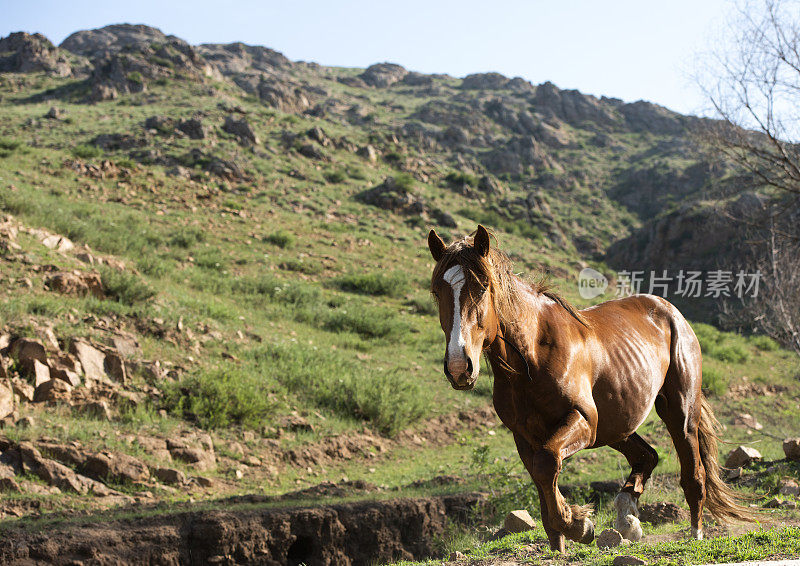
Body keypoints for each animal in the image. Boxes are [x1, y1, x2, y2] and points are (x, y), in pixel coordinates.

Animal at [428, 225, 752, 552]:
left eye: (482, 288)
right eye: (436, 292)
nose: (459, 367)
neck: (533, 355)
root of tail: (670, 310)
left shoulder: (583, 420)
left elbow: (547, 463)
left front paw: (578, 526)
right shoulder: (525, 436)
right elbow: (542, 482)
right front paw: (563, 539)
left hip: (678, 412)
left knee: (693, 473)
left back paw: (694, 532)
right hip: (616, 426)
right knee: (647, 456)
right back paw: (627, 518)